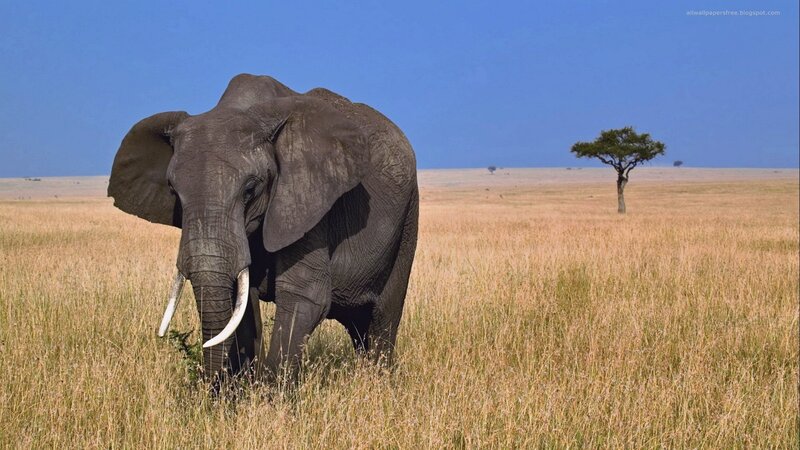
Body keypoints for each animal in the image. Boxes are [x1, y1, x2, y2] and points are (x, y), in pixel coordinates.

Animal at [108, 74, 418, 388]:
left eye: (250, 190)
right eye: (173, 191)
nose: (212, 387)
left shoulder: (307, 199)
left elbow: (304, 294)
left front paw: (270, 395)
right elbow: (241, 302)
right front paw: (242, 389)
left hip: (407, 219)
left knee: (382, 318)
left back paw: (378, 381)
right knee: (358, 326)